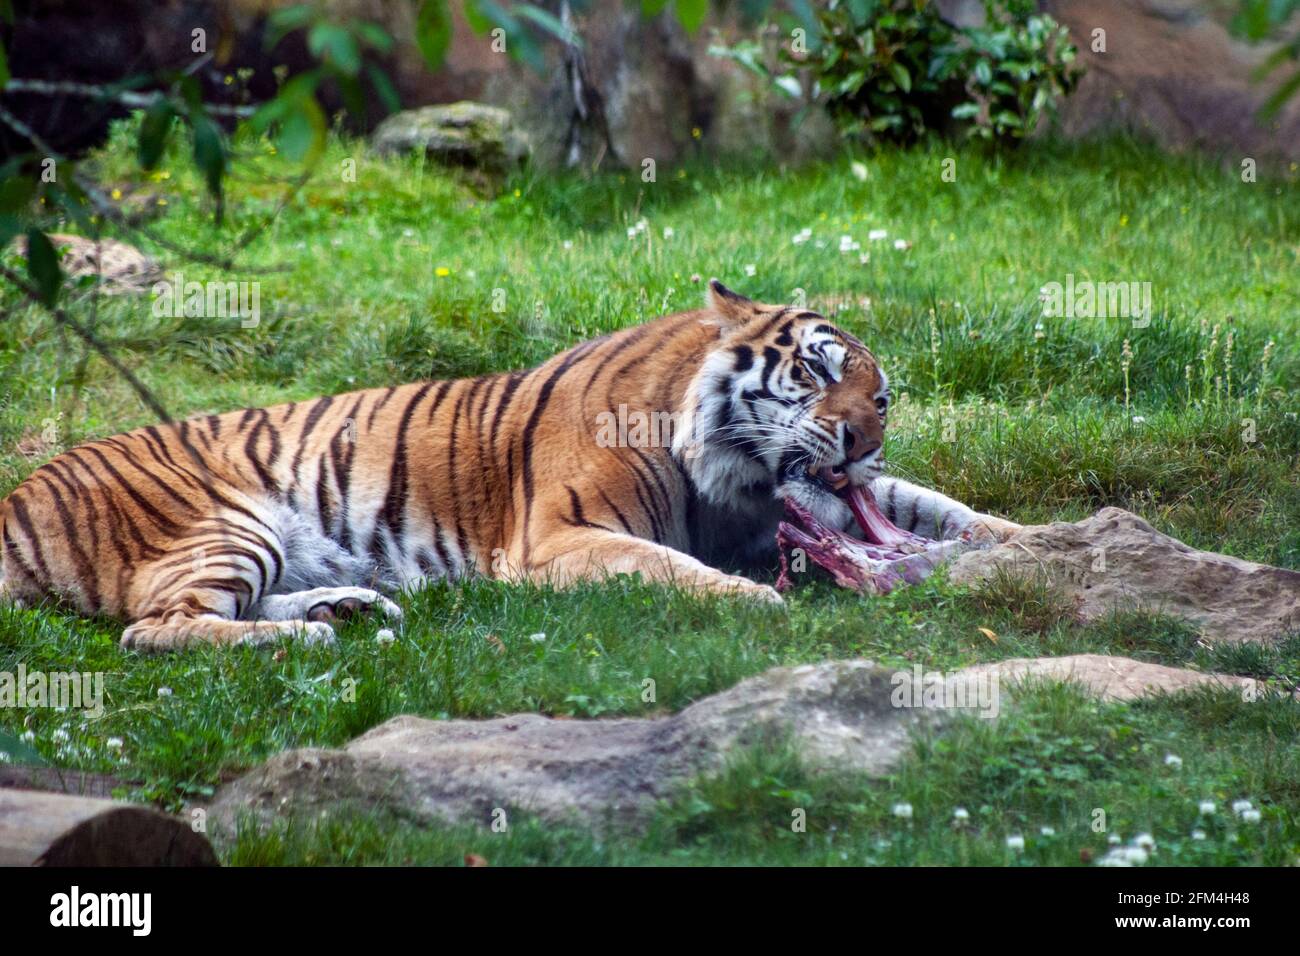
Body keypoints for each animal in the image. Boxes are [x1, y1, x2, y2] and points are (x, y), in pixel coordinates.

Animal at [0, 280, 1021, 651]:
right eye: (815, 371)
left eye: (878, 393)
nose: (866, 434)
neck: (730, 470)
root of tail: (19, 492)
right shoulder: (558, 536)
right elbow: (665, 565)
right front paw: (755, 601)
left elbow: (938, 506)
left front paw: (1037, 541)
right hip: (228, 523)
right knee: (153, 628)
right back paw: (311, 638)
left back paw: (346, 609)